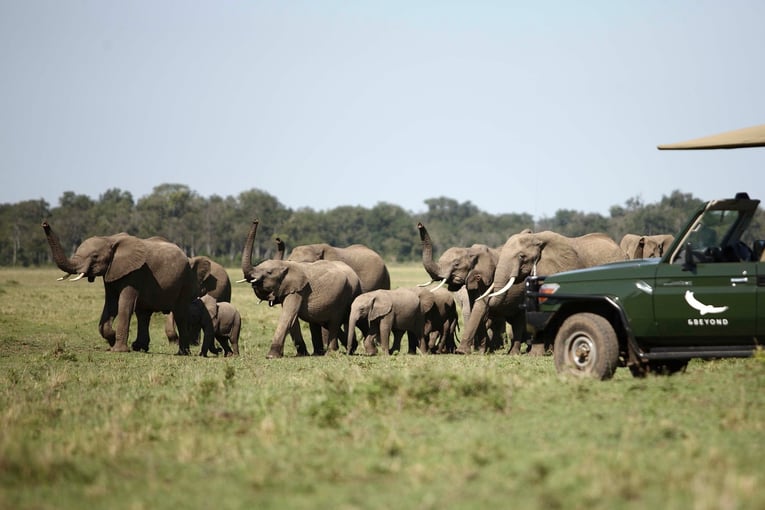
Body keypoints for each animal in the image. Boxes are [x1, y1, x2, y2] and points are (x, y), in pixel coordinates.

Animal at [41, 221, 206, 356]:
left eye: (95, 256)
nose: (45, 224)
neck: (110, 239)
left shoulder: (134, 272)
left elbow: (124, 304)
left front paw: (117, 349)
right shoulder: (112, 272)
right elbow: (111, 303)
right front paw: (112, 339)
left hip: (185, 281)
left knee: (180, 314)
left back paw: (182, 353)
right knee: (144, 314)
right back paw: (140, 348)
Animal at [240, 219, 362, 358]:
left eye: (269, 273)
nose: (256, 220)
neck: (286, 265)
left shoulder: (298, 290)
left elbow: (288, 315)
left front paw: (271, 356)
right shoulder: (288, 290)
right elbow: (292, 319)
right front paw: (301, 354)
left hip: (346, 295)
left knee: (334, 321)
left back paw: (331, 352)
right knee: (321, 321)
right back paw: (327, 351)